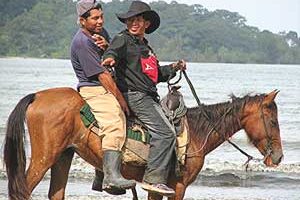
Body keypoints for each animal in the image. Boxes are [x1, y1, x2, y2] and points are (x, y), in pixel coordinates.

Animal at [3, 88, 282, 200]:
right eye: (272, 120)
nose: (278, 157)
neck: (197, 133)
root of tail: (37, 96)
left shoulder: (156, 187)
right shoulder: (178, 186)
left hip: (63, 156)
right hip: (44, 157)